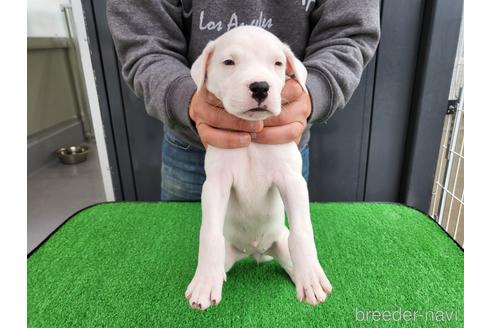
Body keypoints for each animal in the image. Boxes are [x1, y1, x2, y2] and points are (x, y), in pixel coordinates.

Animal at [186, 26, 332, 310]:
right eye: (229, 62)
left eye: (277, 64)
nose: (260, 87)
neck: (252, 137)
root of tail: (254, 252)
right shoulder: (215, 185)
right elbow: (208, 233)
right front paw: (204, 283)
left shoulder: (292, 180)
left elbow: (303, 230)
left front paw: (311, 276)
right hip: (229, 250)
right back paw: (216, 276)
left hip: (281, 244)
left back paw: (302, 276)